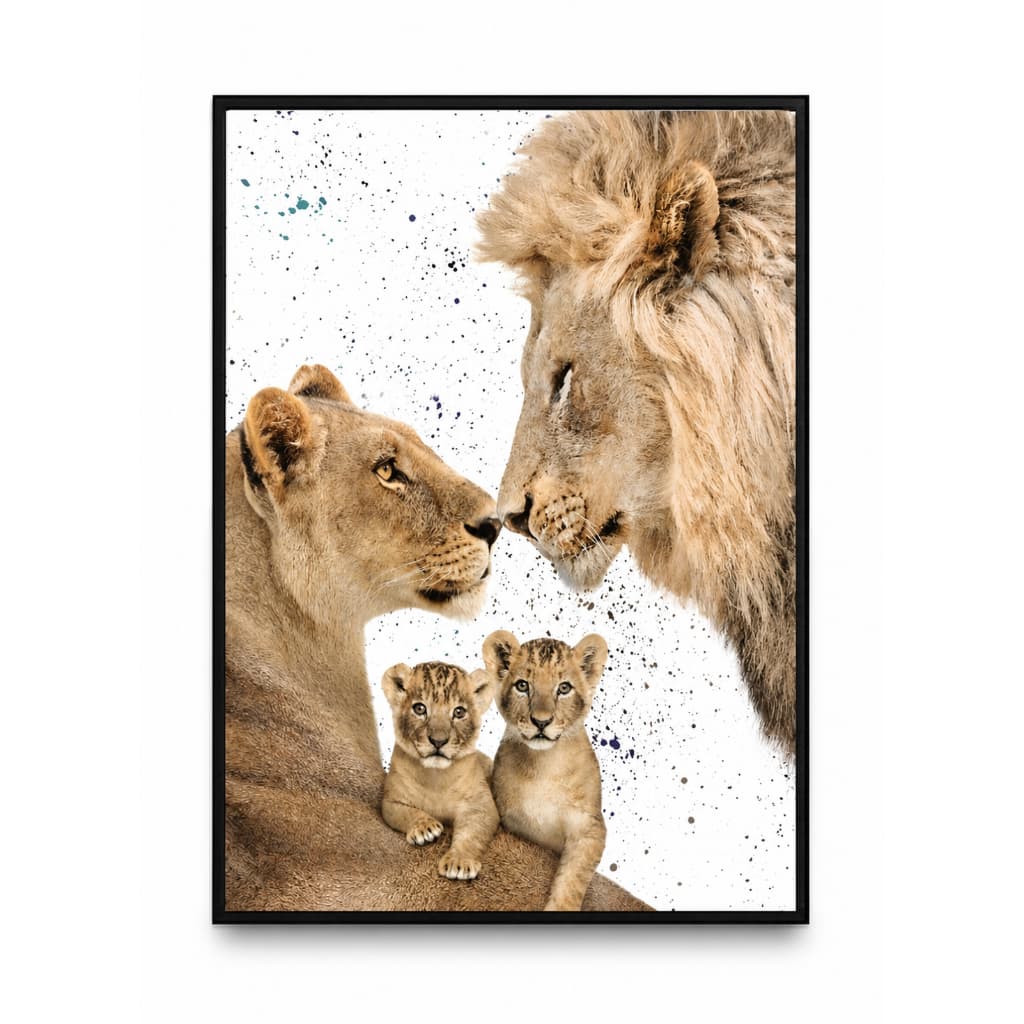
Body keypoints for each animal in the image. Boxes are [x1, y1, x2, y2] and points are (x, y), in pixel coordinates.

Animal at [381, 661, 499, 880]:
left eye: (459, 712)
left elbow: (471, 834)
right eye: (420, 708)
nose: (438, 741)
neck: (436, 777)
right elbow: (407, 813)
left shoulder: (482, 805)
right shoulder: (391, 801)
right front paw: (425, 828)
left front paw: (459, 862)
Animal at [484, 631, 609, 911]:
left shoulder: (589, 827)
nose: (541, 722)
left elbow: (573, 877)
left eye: (564, 688)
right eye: (522, 686)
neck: (543, 766)